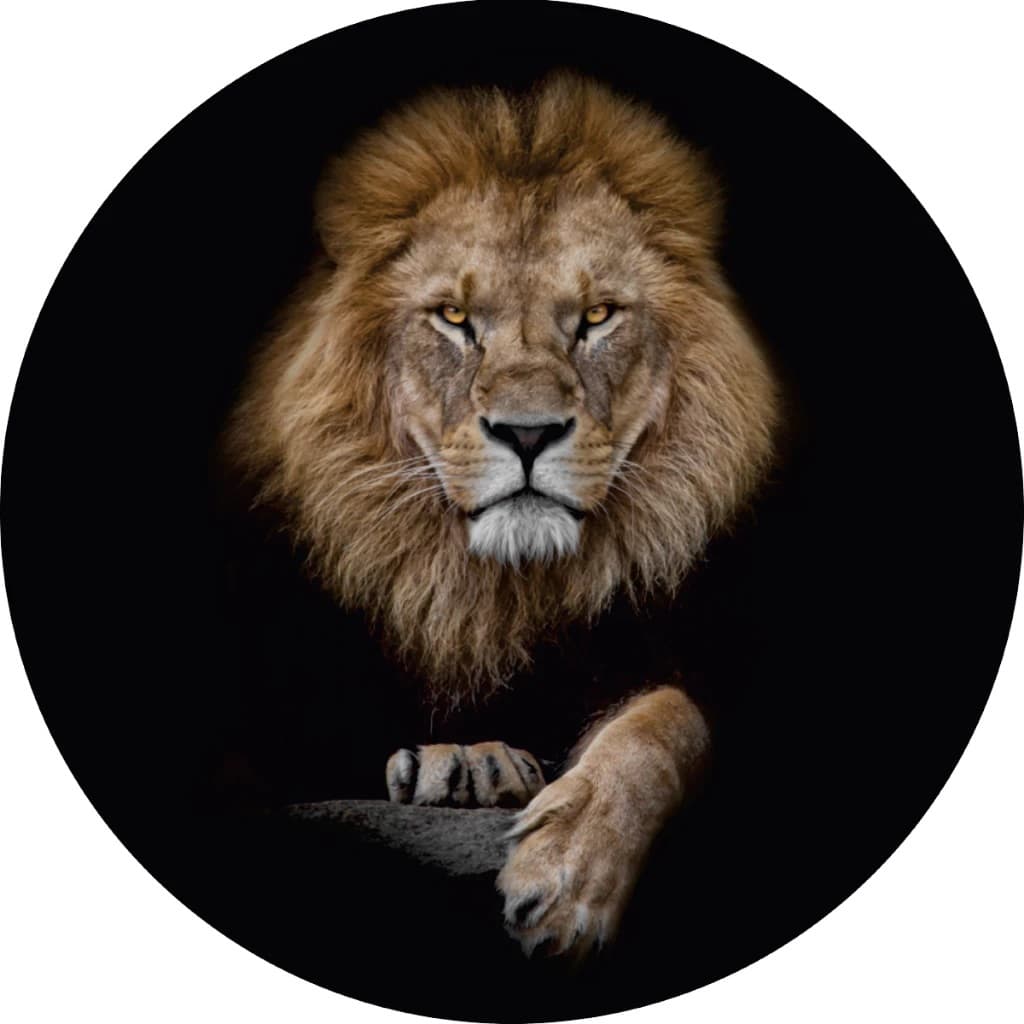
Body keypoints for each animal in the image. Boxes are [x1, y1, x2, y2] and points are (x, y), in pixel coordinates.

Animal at [223, 73, 779, 957]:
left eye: (596, 317)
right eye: (455, 319)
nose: (526, 432)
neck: (493, 593)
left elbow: (665, 721)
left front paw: (569, 875)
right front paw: (467, 760)